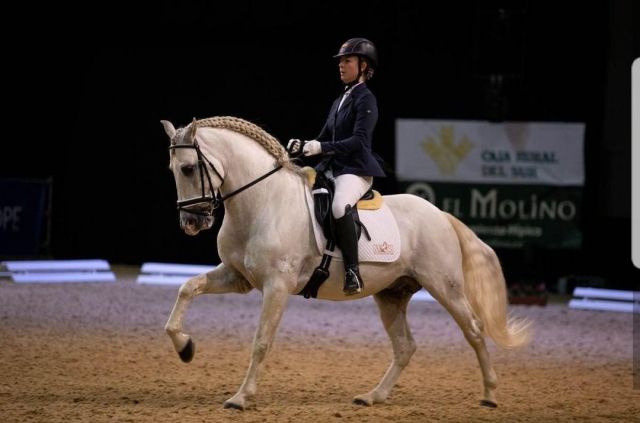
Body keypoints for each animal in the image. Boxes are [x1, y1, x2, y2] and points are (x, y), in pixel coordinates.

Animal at [160, 115, 528, 410]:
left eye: (189, 168)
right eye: (172, 171)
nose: (191, 223)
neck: (262, 202)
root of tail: (441, 215)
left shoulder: (276, 286)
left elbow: (261, 341)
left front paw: (241, 397)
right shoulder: (238, 278)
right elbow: (186, 289)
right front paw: (185, 347)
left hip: (444, 286)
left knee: (474, 331)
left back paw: (490, 395)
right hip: (392, 294)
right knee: (405, 347)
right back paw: (372, 396)